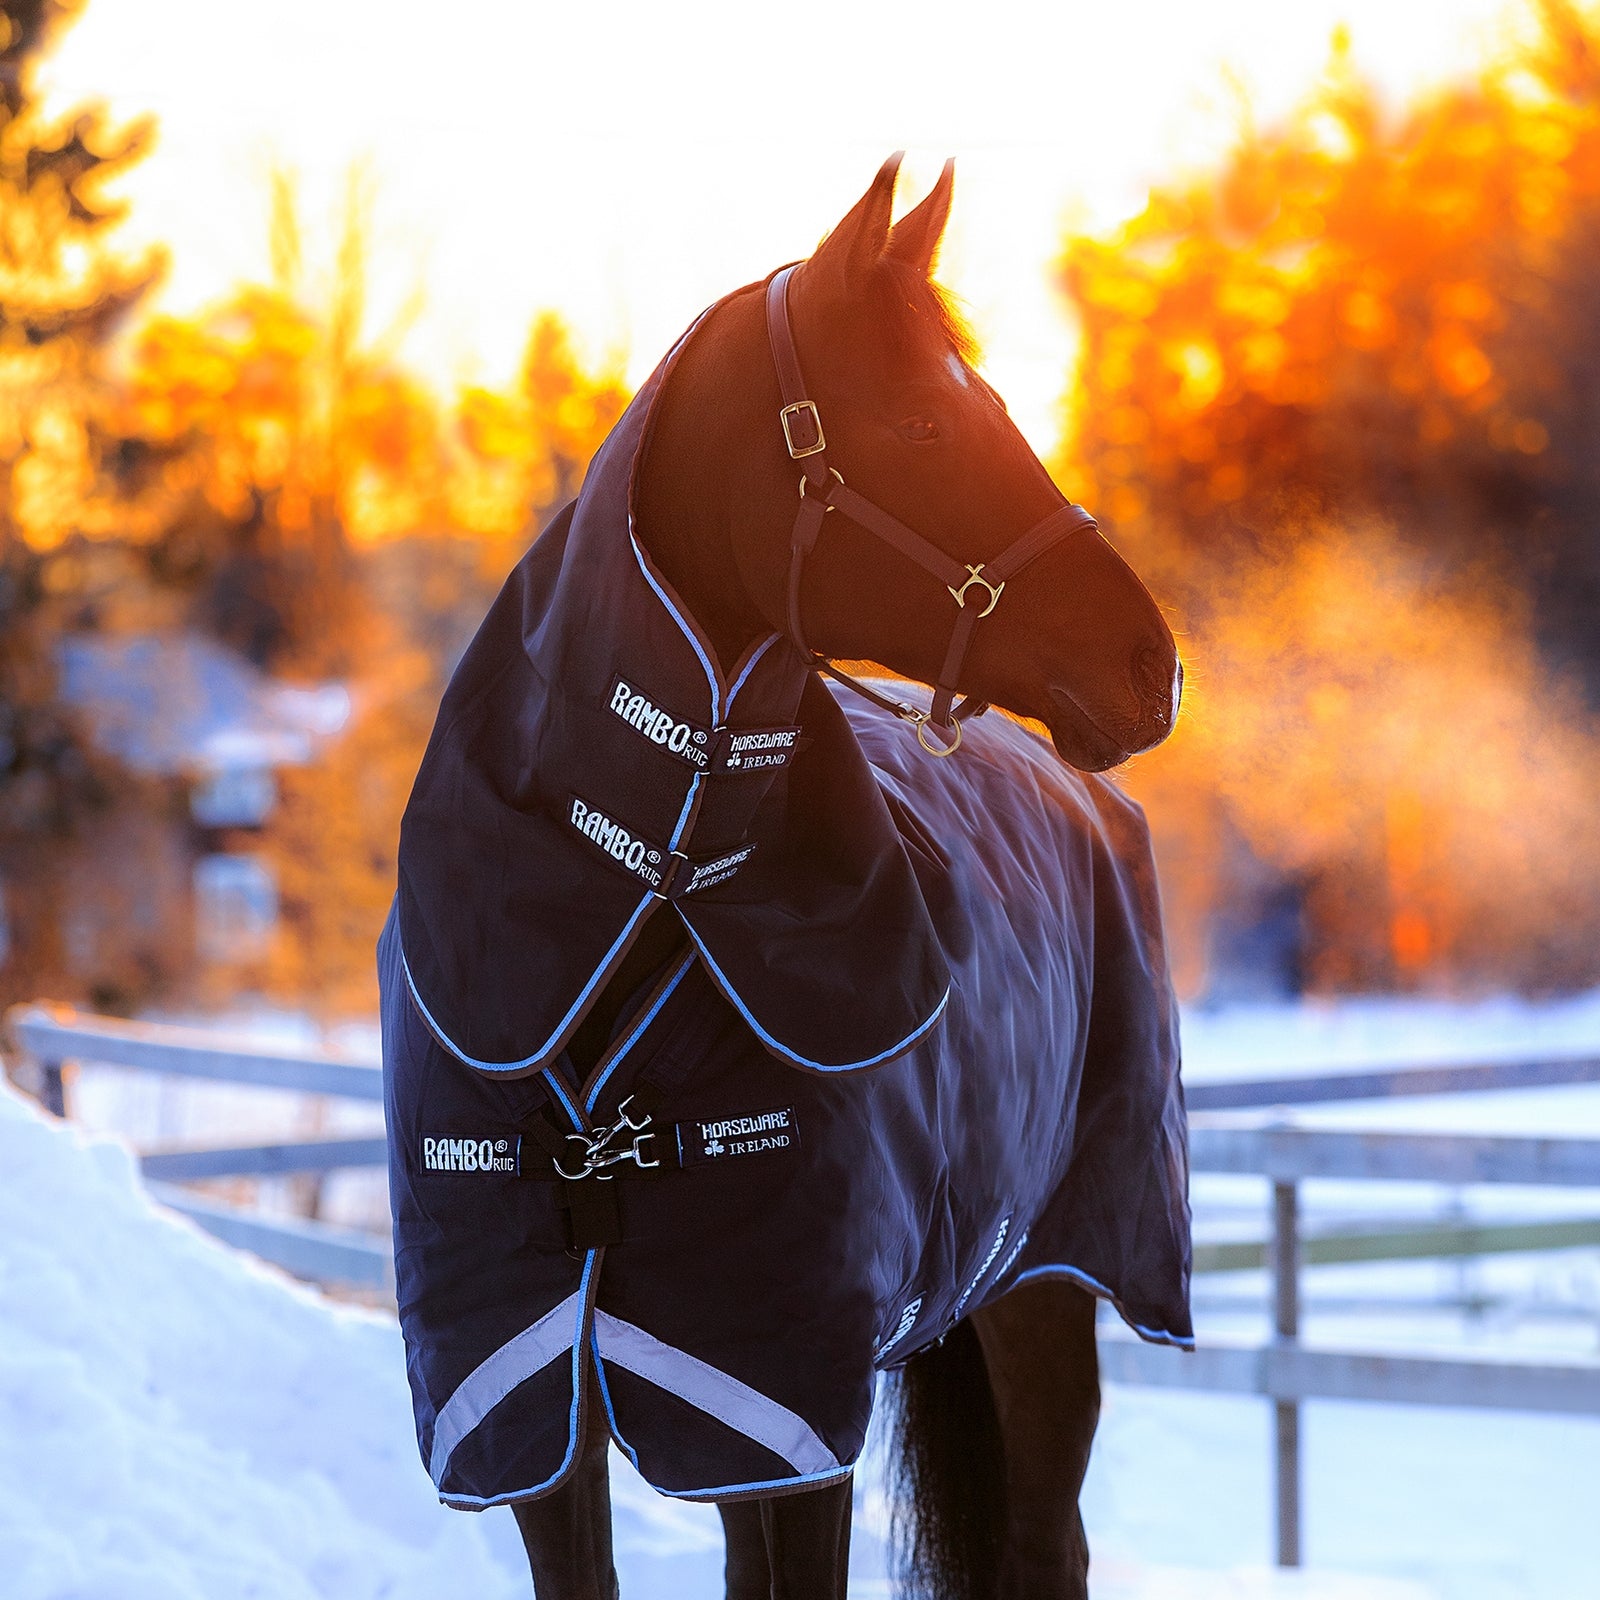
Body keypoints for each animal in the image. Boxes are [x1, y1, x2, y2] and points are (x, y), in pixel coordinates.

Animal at [379, 153, 1191, 1600]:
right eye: (922, 423)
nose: (1152, 667)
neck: (658, 890)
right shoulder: (542, 1399)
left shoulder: (784, 1397)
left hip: (1044, 1289)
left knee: (1048, 1543)